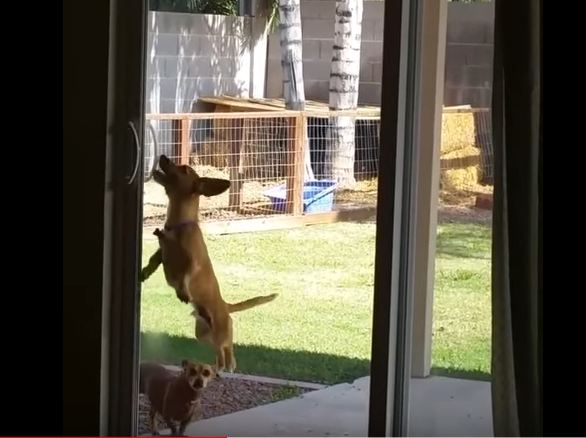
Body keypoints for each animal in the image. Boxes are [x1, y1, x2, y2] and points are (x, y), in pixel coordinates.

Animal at [142, 156, 278, 372]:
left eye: (184, 169)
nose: (163, 156)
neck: (178, 227)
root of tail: (226, 306)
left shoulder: (193, 262)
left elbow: (185, 276)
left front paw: (182, 291)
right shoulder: (162, 251)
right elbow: (154, 259)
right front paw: (144, 272)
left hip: (221, 331)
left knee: (228, 346)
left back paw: (229, 363)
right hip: (203, 334)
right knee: (218, 350)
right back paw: (218, 365)